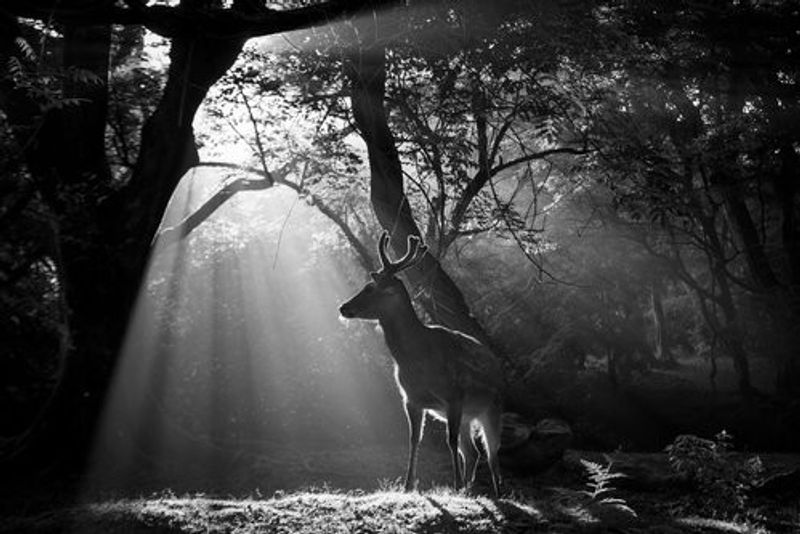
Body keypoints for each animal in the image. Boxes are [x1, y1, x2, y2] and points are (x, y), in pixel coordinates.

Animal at [339, 231, 503, 496]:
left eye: (371, 288)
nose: (343, 307)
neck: (416, 358)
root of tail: (498, 364)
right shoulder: (411, 399)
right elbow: (414, 440)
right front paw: (408, 486)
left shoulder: (454, 395)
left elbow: (450, 441)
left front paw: (455, 483)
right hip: (468, 414)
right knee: (473, 452)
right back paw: (468, 491)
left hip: (492, 407)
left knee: (492, 453)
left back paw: (495, 492)